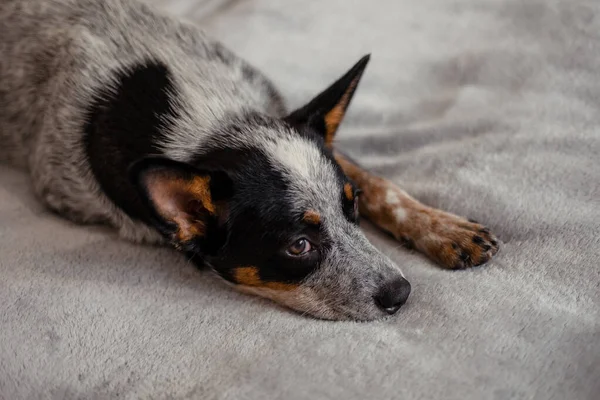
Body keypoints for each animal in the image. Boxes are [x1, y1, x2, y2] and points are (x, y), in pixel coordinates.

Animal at [0, 0, 496, 320]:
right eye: (299, 246)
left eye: (350, 204)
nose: (401, 292)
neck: (213, 125)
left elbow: (379, 184)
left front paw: (443, 228)